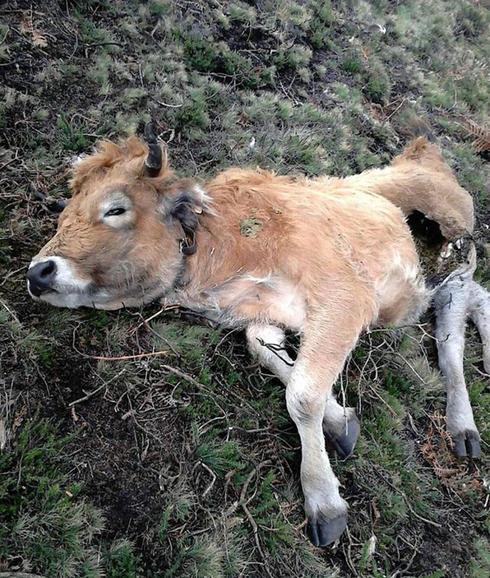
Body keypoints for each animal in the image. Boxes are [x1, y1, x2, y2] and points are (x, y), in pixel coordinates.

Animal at [28, 127, 484, 544]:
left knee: (456, 313)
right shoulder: (264, 318)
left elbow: (302, 395)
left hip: (453, 245)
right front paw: (341, 423)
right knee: (475, 297)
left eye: (115, 209)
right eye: (64, 213)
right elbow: (277, 360)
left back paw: (463, 427)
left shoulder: (344, 298)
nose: (38, 272)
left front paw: (323, 500)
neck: (220, 243)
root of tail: (419, 151)